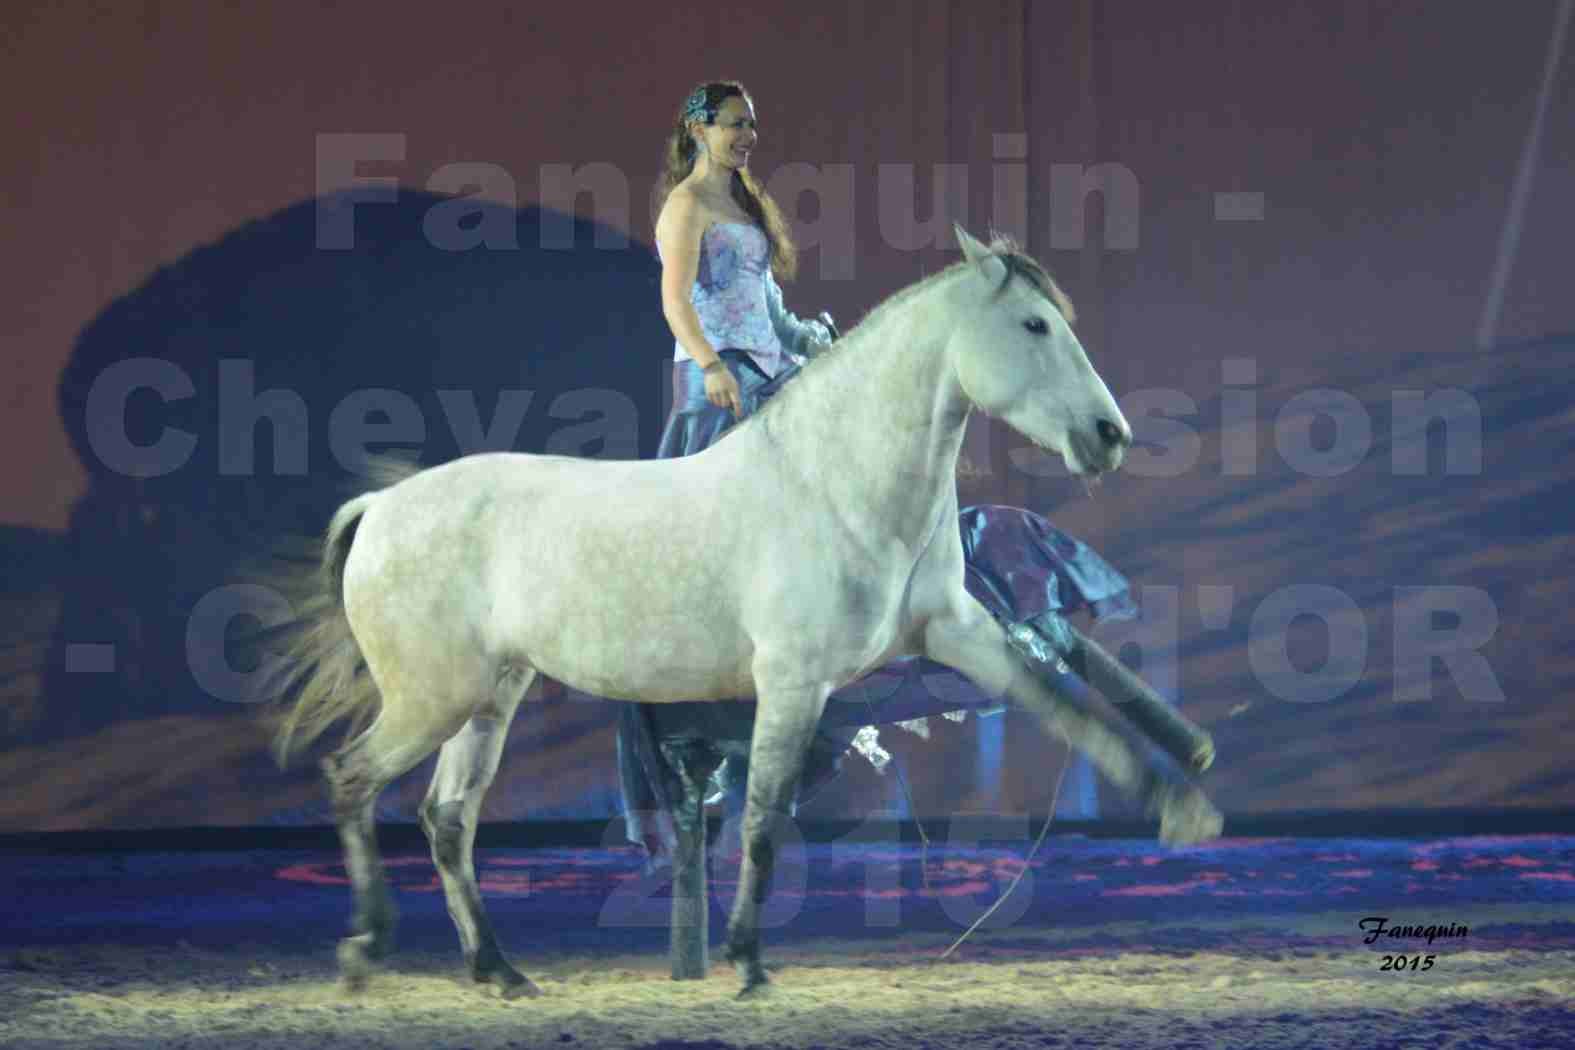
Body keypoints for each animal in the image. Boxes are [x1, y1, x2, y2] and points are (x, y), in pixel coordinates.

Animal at [270, 223, 1222, 1001]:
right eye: (1033, 326)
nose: (1108, 436)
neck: (835, 482)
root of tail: (381, 510)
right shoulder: (794, 683)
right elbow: (763, 819)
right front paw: (748, 961)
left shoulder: (956, 632)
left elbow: (1055, 702)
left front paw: (1181, 805)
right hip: (432, 699)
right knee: (353, 779)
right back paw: (366, 950)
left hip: (487, 700)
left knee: (447, 820)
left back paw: (498, 971)